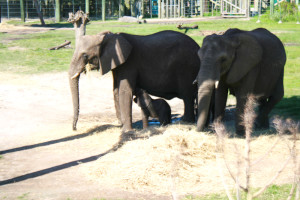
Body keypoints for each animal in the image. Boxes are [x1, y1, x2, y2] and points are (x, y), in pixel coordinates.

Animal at [69, 30, 200, 133]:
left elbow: (124, 91)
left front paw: (126, 131)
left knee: (187, 96)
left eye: (85, 55)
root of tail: (198, 46)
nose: (75, 129)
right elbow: (116, 90)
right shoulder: (117, 63)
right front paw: (120, 125)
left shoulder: (129, 63)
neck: (109, 36)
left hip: (187, 67)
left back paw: (186, 121)